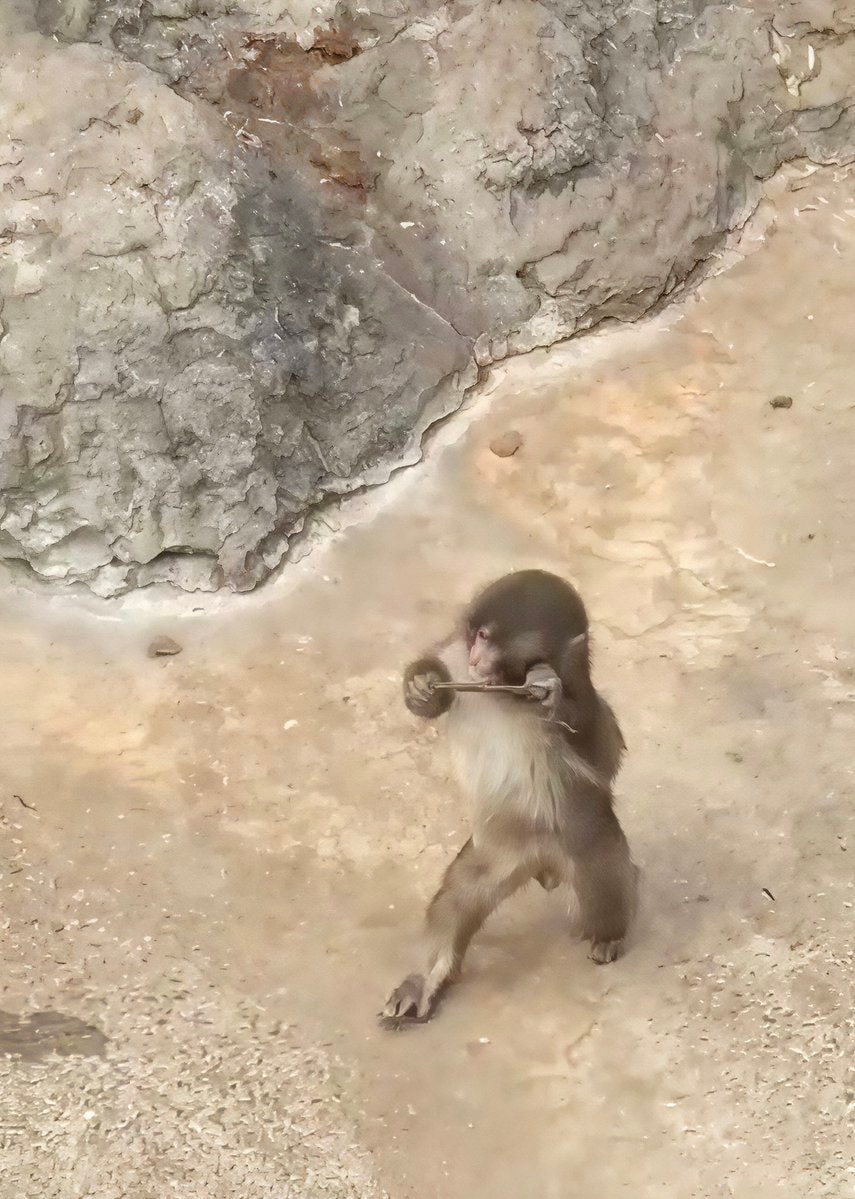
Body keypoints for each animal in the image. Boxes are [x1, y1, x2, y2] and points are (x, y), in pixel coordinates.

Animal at [382, 568, 637, 1026]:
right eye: (476, 636)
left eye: (488, 638)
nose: (476, 656)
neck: (503, 686)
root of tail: (543, 865)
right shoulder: (456, 660)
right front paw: (420, 687)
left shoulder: (578, 683)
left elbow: (602, 754)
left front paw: (548, 692)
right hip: (498, 852)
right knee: (459, 897)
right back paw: (425, 980)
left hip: (586, 836)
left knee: (603, 873)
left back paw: (610, 934)